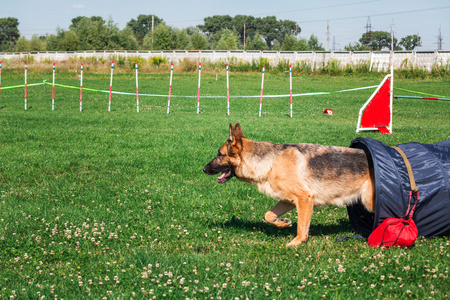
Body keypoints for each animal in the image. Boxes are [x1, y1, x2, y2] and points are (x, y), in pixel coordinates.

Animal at [202, 123, 374, 247]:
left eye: (219, 154)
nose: (203, 169)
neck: (270, 162)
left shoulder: (305, 199)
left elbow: (301, 228)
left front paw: (295, 243)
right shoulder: (288, 200)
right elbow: (268, 215)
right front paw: (283, 223)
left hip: (369, 201)